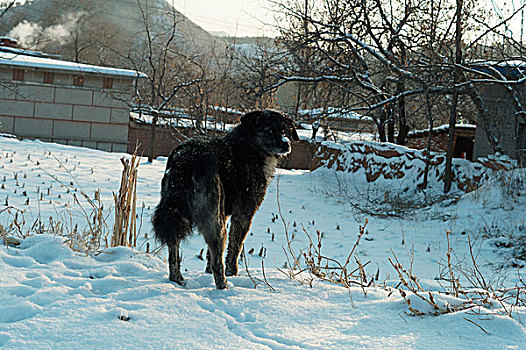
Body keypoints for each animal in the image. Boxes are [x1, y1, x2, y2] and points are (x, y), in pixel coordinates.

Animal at [154, 110, 302, 288]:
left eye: (285, 131)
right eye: (269, 130)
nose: (286, 144)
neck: (250, 146)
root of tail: (186, 160)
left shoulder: (224, 214)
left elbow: (209, 255)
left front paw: (207, 272)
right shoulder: (243, 215)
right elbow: (234, 249)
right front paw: (232, 273)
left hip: (176, 213)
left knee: (173, 250)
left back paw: (177, 279)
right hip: (214, 221)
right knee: (218, 262)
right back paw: (223, 286)